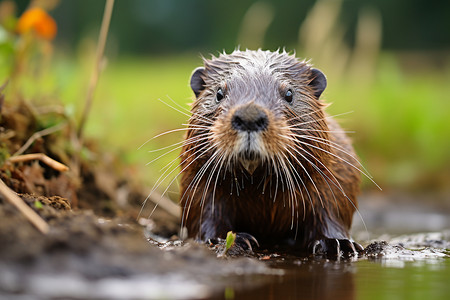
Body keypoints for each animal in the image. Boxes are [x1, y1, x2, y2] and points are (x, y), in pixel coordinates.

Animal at [178, 49, 362, 255]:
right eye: (219, 93)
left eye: (289, 93)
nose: (249, 116)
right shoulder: (197, 179)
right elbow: (205, 211)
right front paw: (227, 239)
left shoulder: (333, 176)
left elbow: (330, 209)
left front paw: (337, 243)